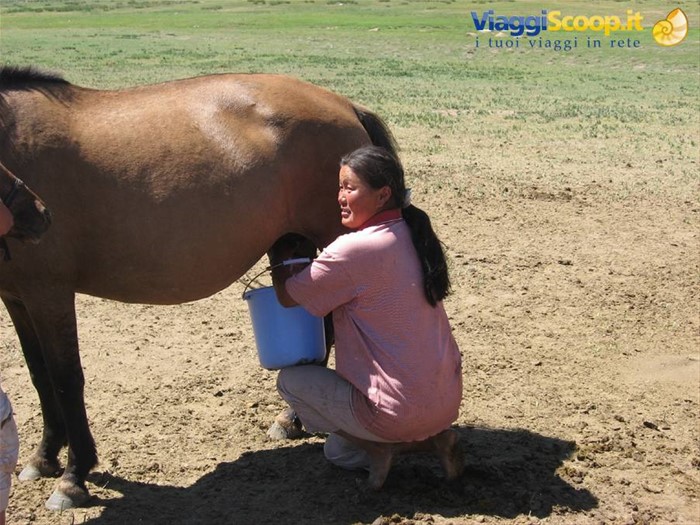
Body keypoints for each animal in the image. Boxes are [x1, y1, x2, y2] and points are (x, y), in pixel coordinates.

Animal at [0, 65, 398, 510]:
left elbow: (65, 379)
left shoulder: (49, 293)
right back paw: (291, 419)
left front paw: (73, 476)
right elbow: (39, 376)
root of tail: (345, 104)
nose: (38, 213)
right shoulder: (17, 297)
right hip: (294, 246)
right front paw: (44, 457)